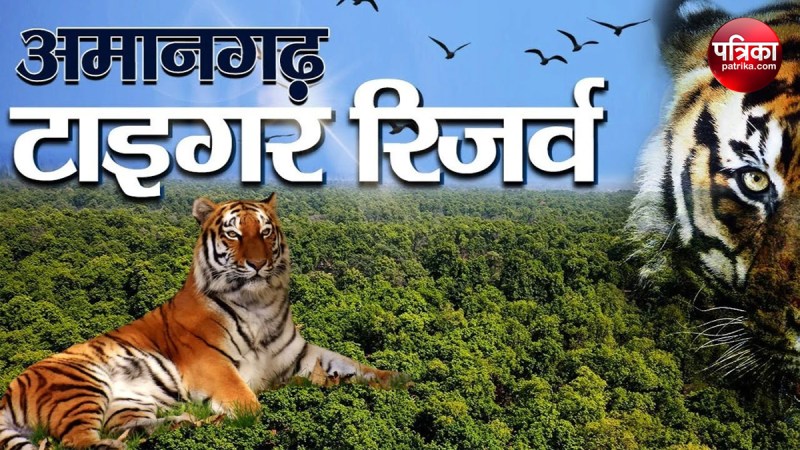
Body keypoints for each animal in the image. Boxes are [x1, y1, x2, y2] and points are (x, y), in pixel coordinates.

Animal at [0, 194, 399, 450]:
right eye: (233, 233)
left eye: (266, 231)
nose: (258, 264)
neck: (260, 304)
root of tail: (8, 389)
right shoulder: (210, 362)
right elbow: (249, 405)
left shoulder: (298, 353)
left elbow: (356, 366)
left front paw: (400, 381)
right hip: (79, 383)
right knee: (76, 441)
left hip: (128, 401)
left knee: (127, 427)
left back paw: (182, 423)